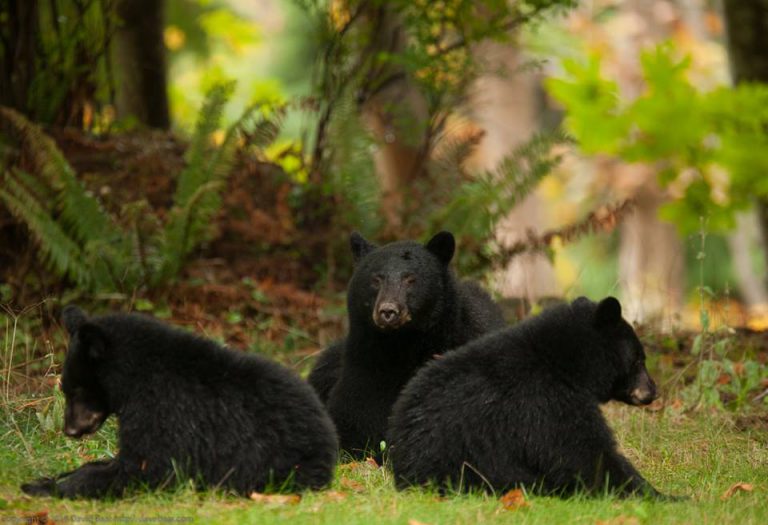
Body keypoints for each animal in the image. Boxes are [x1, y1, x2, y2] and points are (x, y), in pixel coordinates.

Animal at [21, 304, 336, 498]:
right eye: (67, 388)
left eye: (75, 389)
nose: (70, 430)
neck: (134, 376)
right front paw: (54, 477)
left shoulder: (162, 411)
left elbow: (144, 468)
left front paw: (44, 487)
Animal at [308, 229, 508, 454]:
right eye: (376, 279)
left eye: (410, 279)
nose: (388, 311)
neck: (403, 343)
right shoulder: (363, 365)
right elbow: (353, 413)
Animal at [388, 294, 676, 500]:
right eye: (639, 359)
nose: (653, 391)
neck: (565, 362)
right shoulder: (545, 401)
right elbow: (582, 455)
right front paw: (665, 496)